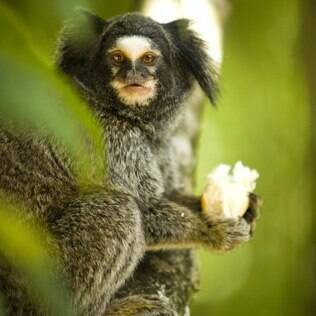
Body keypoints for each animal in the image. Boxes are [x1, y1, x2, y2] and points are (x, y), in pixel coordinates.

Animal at [0, 10, 260, 316]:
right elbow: (145, 210)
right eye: (116, 58)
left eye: (148, 58)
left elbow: (167, 196)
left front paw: (234, 205)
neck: (127, 116)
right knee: (121, 211)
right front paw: (212, 233)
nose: (133, 74)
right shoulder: (106, 138)